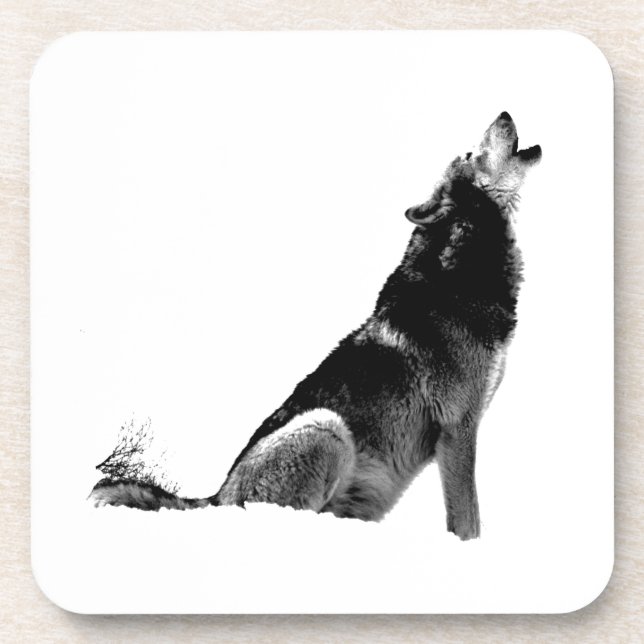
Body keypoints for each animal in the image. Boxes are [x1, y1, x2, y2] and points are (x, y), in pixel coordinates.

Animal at [90, 112, 541, 540]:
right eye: (470, 152)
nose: (504, 112)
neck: (460, 272)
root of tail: (216, 497)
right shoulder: (457, 429)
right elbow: (468, 521)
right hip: (327, 427)